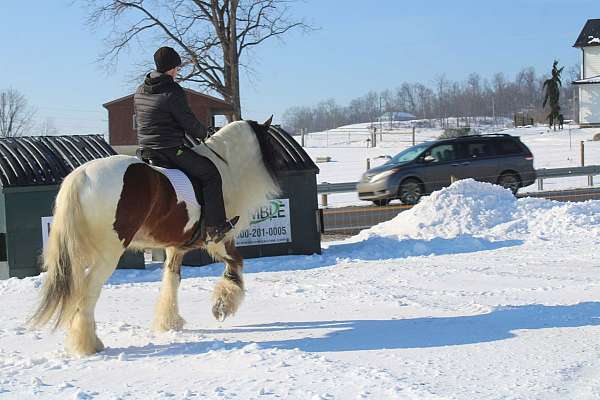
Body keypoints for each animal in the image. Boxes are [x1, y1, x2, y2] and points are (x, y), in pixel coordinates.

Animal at [28, 119, 282, 356]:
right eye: (270, 142)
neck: (225, 167)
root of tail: (82, 176)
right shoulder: (220, 239)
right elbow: (236, 264)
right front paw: (222, 305)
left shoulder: (175, 248)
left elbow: (172, 279)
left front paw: (169, 322)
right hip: (107, 255)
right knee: (88, 291)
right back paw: (89, 344)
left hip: (78, 255)